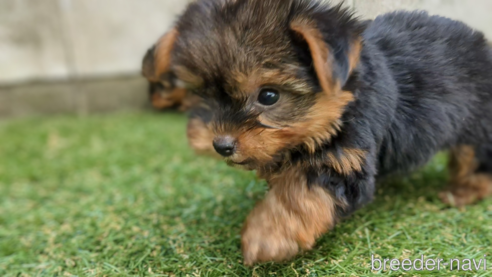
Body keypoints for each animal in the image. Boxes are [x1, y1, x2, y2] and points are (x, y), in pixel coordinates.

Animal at [152, 0, 492, 264]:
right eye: (203, 95)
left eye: (268, 96)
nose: (221, 145)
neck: (343, 102)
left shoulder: (345, 158)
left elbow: (300, 193)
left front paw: (268, 233)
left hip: (477, 122)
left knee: (476, 157)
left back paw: (464, 190)